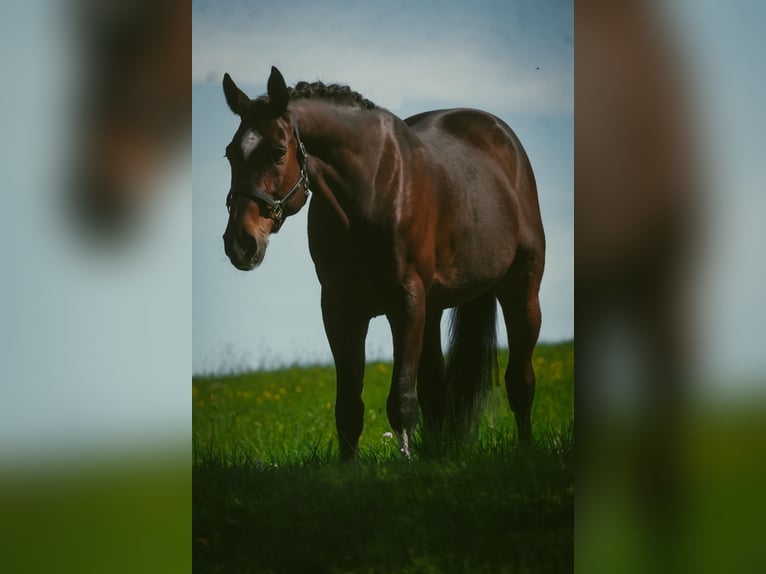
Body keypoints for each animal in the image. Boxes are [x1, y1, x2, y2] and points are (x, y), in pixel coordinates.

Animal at [221, 66, 545, 460]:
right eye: (230, 154)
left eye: (279, 152)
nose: (240, 242)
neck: (372, 189)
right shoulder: (340, 308)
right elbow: (348, 406)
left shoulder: (404, 303)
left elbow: (401, 400)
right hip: (432, 309)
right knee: (435, 388)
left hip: (521, 291)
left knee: (520, 381)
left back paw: (527, 447)